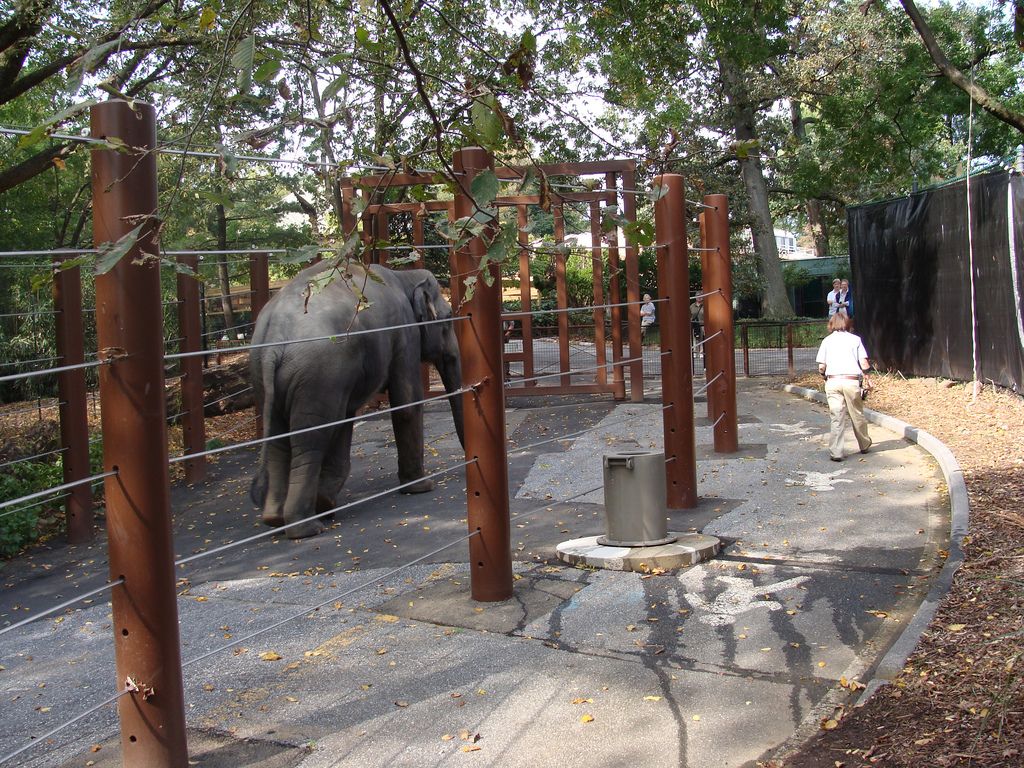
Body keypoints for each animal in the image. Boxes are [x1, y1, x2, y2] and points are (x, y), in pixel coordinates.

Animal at [249, 264, 466, 540]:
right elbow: (406, 402)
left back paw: (277, 519)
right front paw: (422, 487)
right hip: (319, 374)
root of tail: (274, 337)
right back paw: (306, 527)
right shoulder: (403, 332)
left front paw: (326, 501)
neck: (403, 275)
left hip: (267, 378)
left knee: (281, 439)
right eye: (448, 320)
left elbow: (348, 418)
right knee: (311, 438)